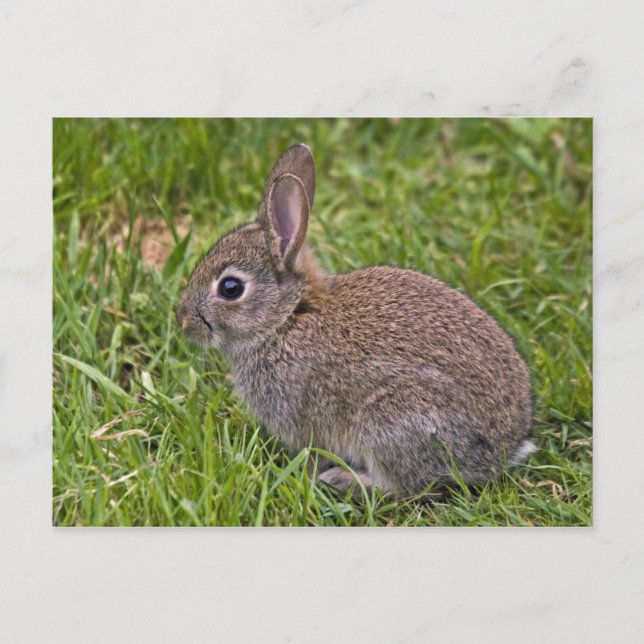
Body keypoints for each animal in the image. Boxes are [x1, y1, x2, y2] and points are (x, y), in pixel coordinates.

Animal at [176, 143, 535, 499]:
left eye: (231, 288)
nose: (183, 322)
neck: (286, 318)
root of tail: (500, 452)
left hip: (393, 420)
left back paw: (343, 480)